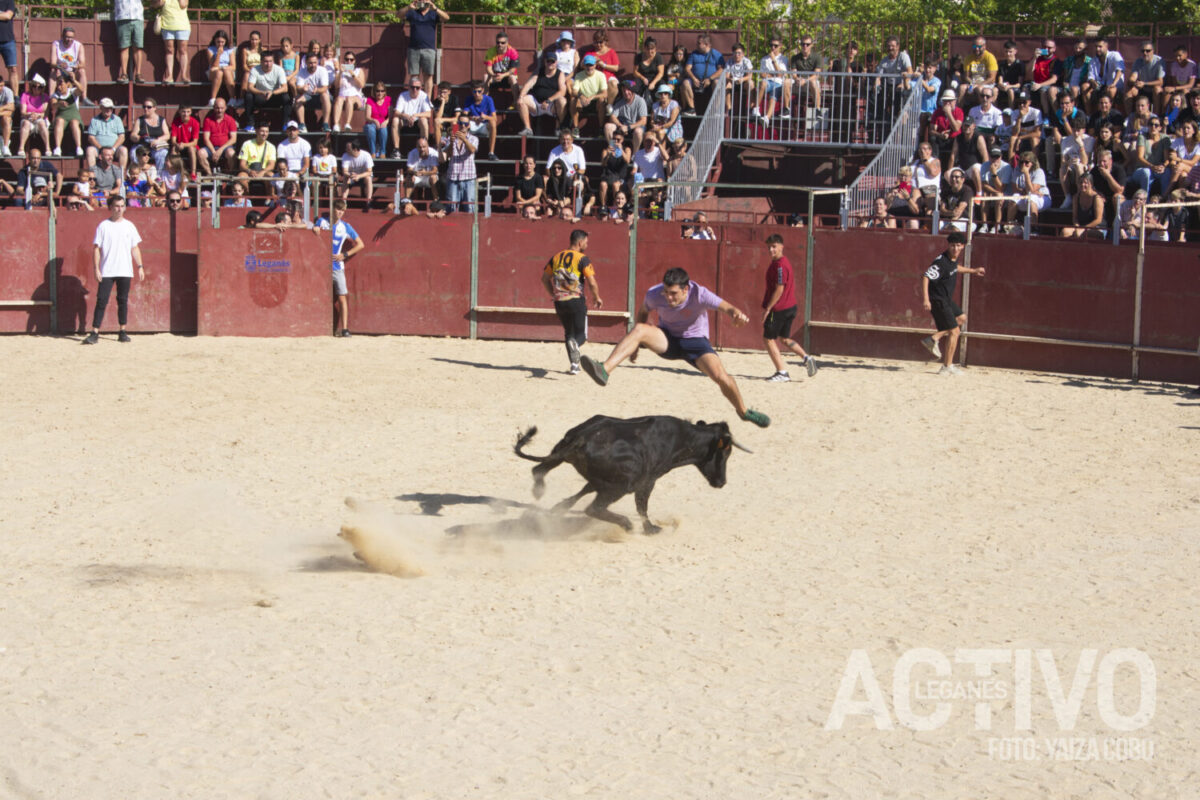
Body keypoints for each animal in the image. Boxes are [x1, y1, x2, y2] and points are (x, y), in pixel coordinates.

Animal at [513, 417, 748, 534]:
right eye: (726, 451)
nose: (721, 482)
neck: (682, 437)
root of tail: (582, 438)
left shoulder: (601, 481)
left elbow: (582, 491)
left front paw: (559, 508)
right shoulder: (647, 480)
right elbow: (642, 505)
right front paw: (650, 528)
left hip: (562, 453)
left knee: (539, 470)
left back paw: (539, 493)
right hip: (621, 486)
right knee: (594, 508)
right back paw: (626, 524)